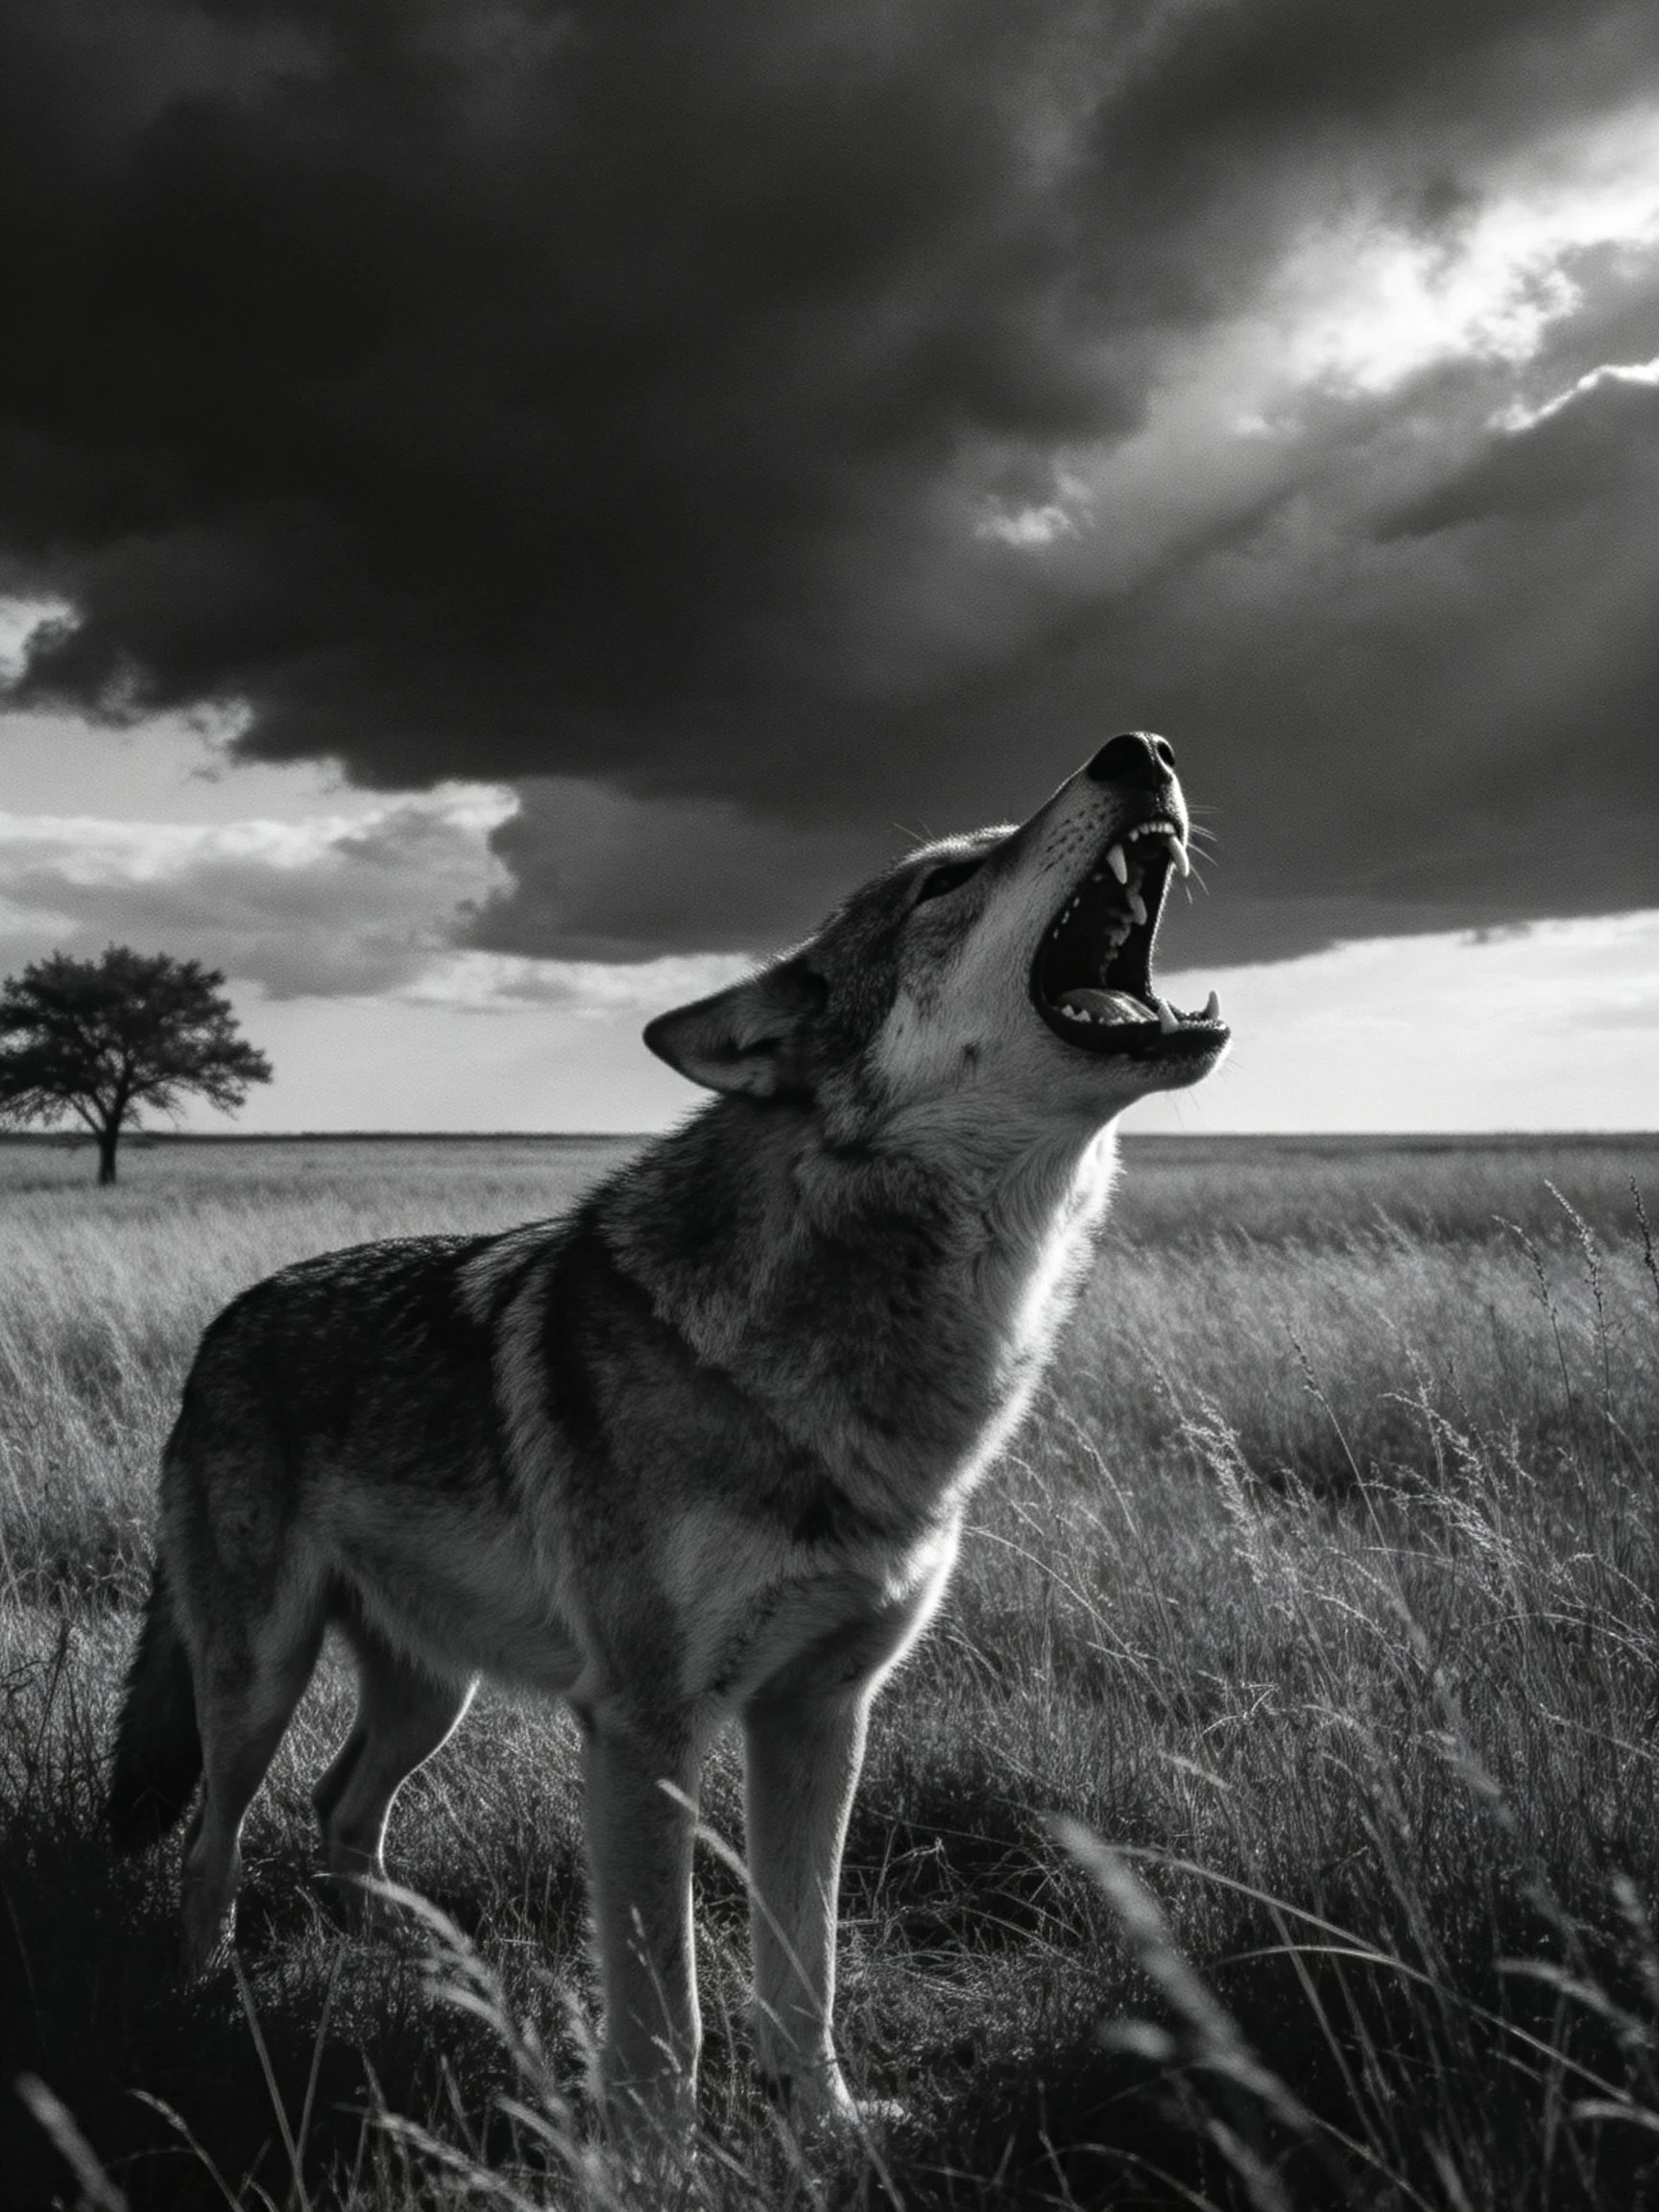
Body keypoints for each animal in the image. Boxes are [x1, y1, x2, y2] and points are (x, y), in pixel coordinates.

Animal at [107, 732, 1227, 2141]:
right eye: (946, 879)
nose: (1142, 749)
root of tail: (225, 1324)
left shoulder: (823, 1715)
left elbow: (805, 1966)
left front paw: (826, 2124)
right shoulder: (644, 1729)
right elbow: (665, 2007)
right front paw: (658, 2156)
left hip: (433, 1694)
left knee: (340, 1811)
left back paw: (422, 1969)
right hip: (259, 1676)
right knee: (215, 1841)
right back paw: (201, 1998)